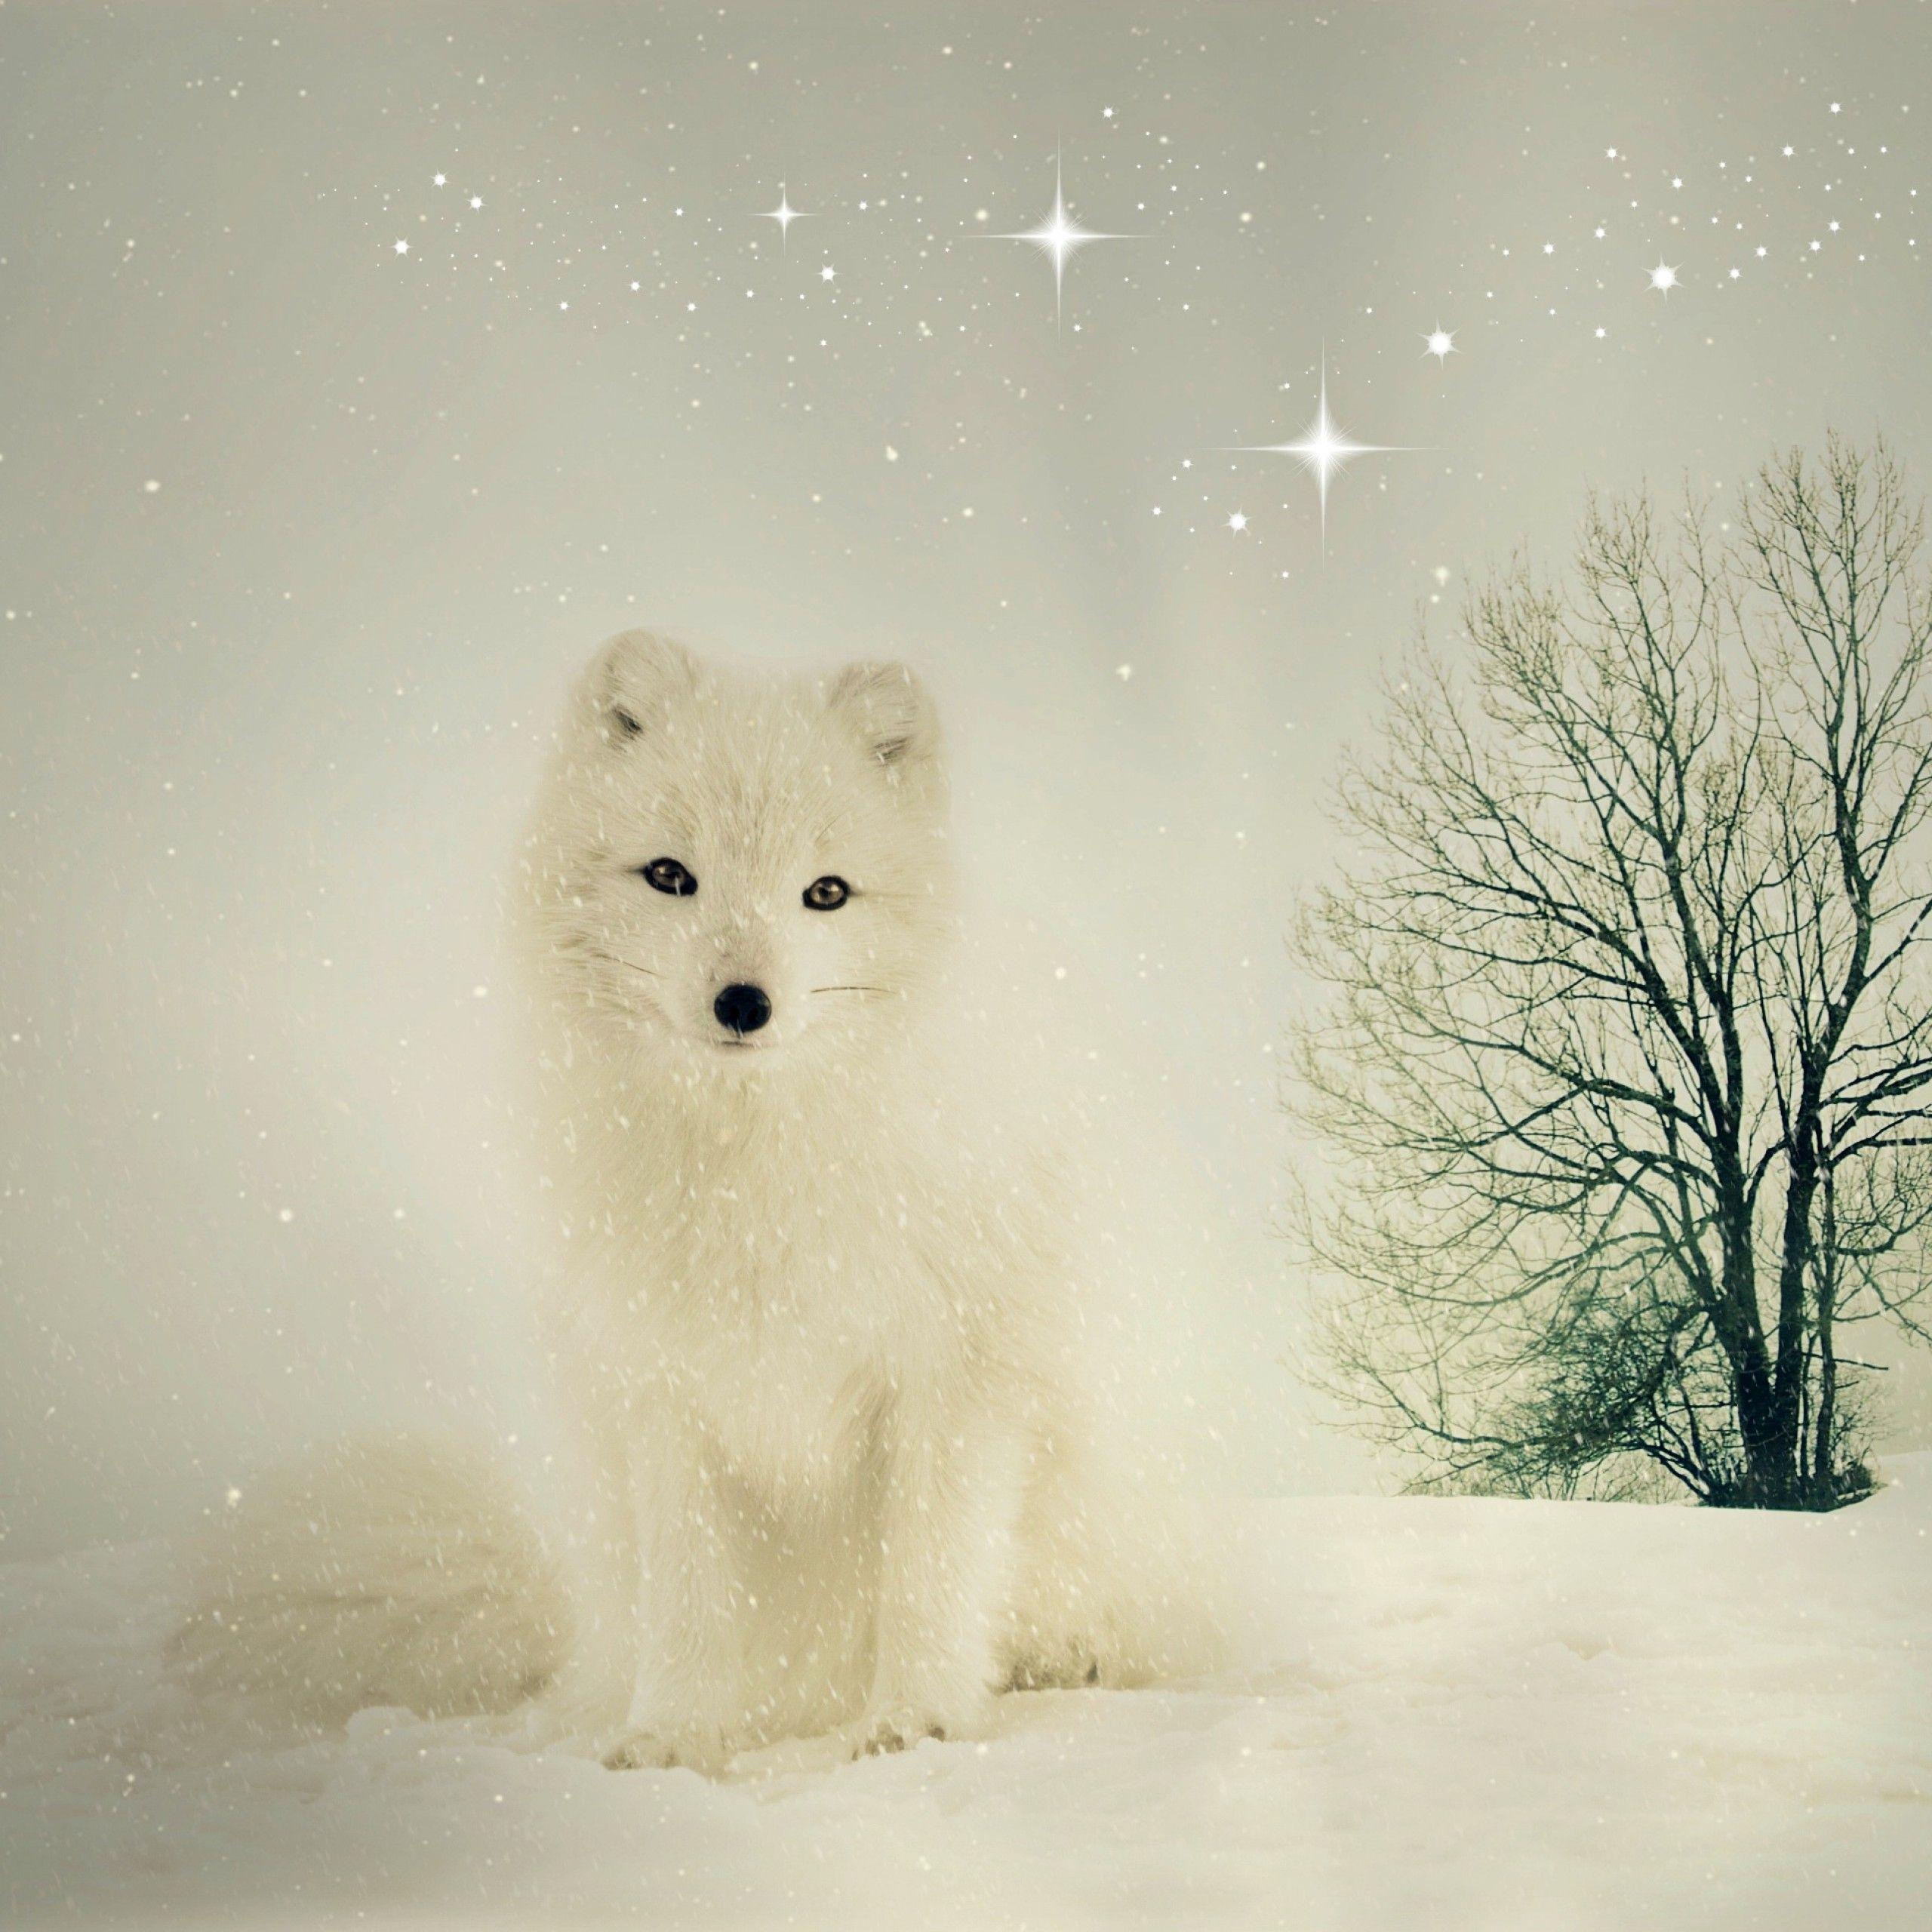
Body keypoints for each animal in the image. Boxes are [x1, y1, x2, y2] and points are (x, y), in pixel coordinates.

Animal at [168, 631, 1216, 1770]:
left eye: (826, 893)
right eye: (672, 876)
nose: (742, 1003)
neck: (750, 1166)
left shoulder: (958, 1372)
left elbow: (928, 1573)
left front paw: (914, 1720)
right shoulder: (664, 1388)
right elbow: (692, 1596)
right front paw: (672, 1738)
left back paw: (1057, 1659)